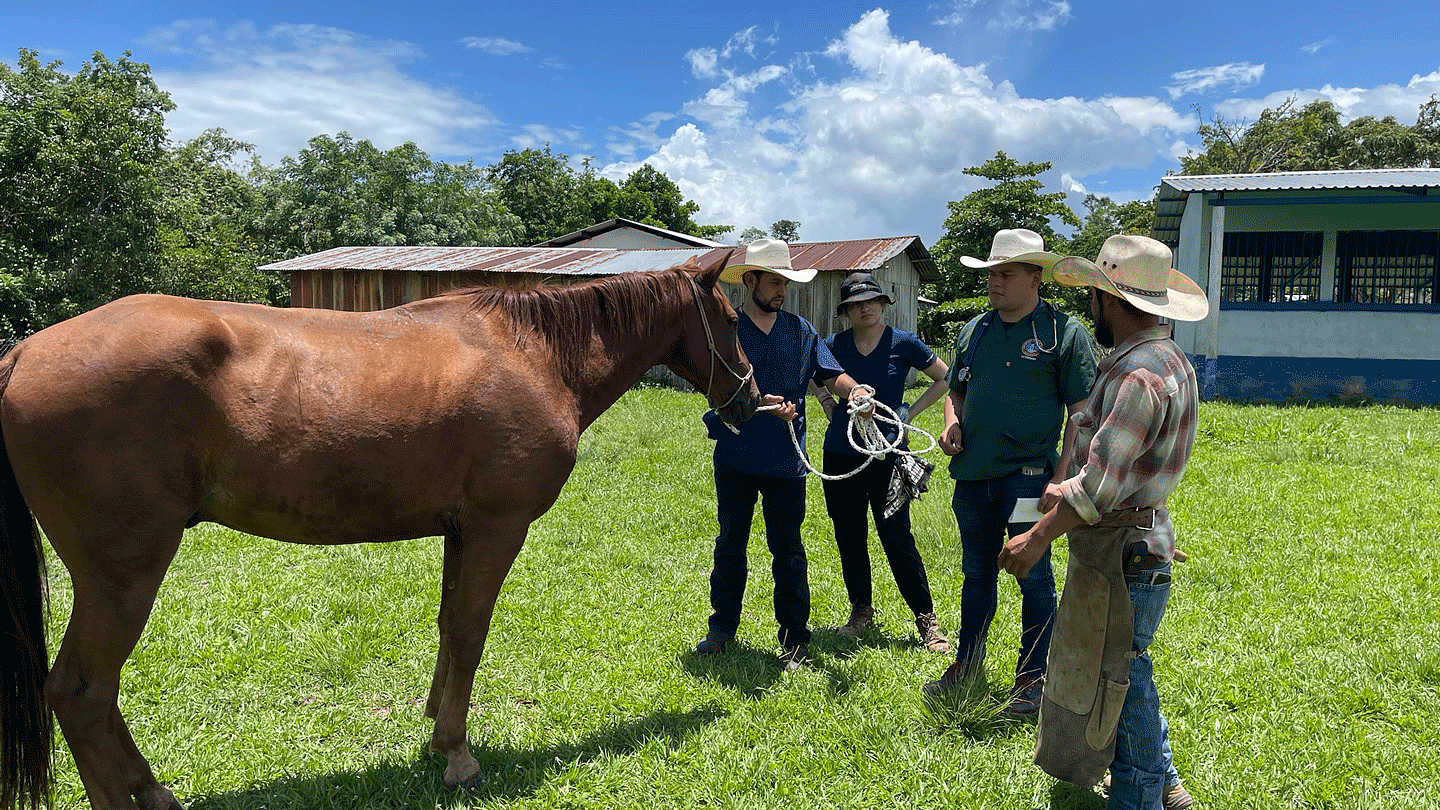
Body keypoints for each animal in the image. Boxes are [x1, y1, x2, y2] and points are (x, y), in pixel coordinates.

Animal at [0, 251, 760, 810]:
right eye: (731, 317)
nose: (751, 397)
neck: (532, 355)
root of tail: (23, 354)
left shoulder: (460, 531)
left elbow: (449, 626)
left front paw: (435, 729)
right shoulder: (496, 528)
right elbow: (470, 632)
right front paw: (457, 755)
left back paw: (154, 792)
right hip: (123, 573)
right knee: (81, 693)